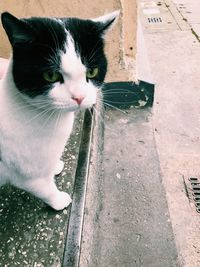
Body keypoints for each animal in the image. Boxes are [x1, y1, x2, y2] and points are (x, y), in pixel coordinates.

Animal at [0, 10, 119, 210]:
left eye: (92, 72)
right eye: (51, 75)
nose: (79, 97)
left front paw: (55, 165)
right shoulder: (25, 174)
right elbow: (44, 188)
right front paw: (59, 200)